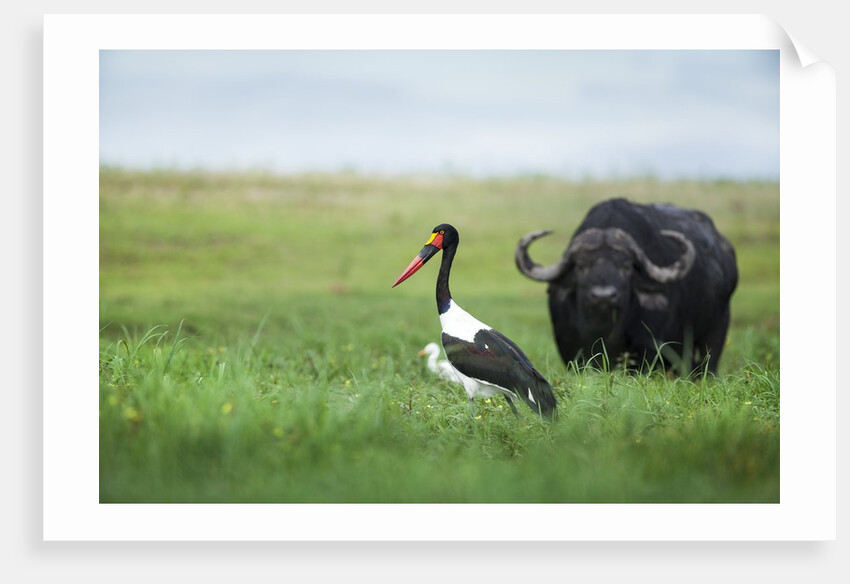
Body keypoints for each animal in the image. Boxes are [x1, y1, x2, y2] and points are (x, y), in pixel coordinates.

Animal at [515, 198, 738, 375]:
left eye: (626, 267)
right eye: (581, 266)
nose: (603, 296)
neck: (604, 329)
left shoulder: (648, 349)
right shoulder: (569, 349)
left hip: (717, 330)